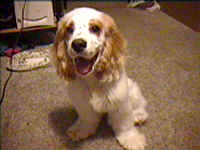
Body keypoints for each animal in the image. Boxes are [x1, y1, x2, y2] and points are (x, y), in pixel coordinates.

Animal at [51, 7, 148, 150]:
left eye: (95, 28)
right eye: (69, 29)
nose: (78, 44)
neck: (92, 80)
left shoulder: (120, 101)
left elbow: (124, 123)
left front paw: (131, 139)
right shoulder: (82, 103)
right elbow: (87, 119)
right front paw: (81, 130)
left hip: (133, 90)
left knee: (140, 106)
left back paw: (138, 116)